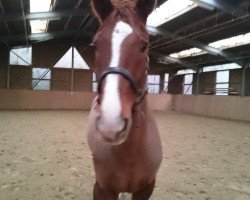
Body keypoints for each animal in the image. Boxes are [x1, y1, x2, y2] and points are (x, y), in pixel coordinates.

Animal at [87, 0, 163, 198]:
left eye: (144, 46)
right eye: (95, 46)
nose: (111, 124)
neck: (130, 153)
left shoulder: (147, 188)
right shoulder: (102, 190)